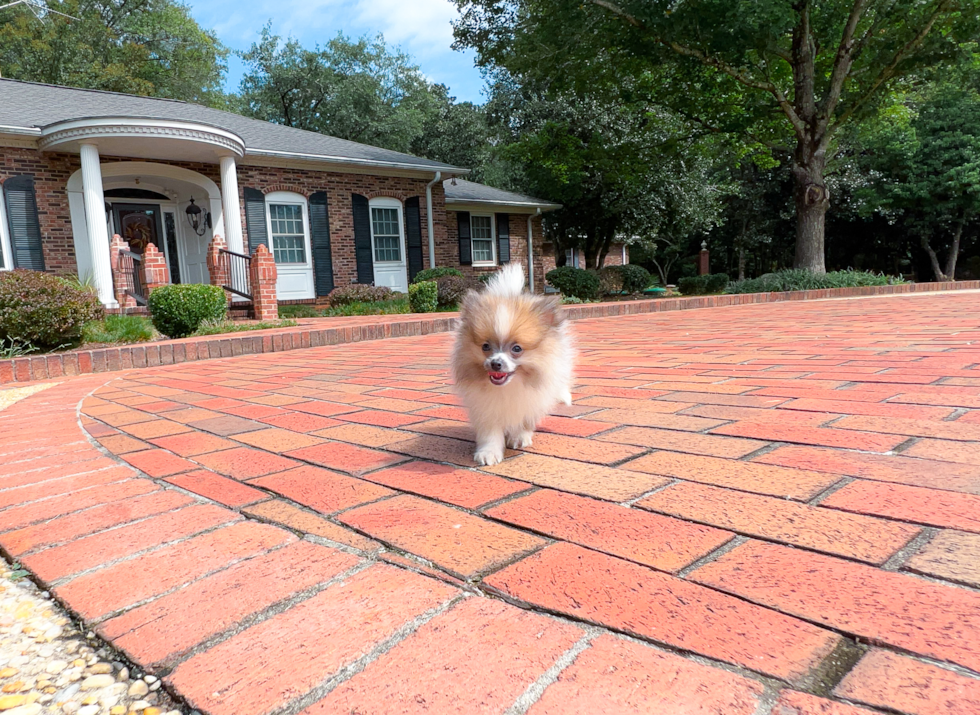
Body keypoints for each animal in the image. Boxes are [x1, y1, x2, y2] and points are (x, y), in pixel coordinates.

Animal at [452, 262, 576, 464]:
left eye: (517, 348)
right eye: (485, 346)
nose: (495, 363)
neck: (508, 387)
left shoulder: (530, 400)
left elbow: (523, 421)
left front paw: (519, 437)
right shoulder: (485, 407)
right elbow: (490, 432)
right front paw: (488, 453)